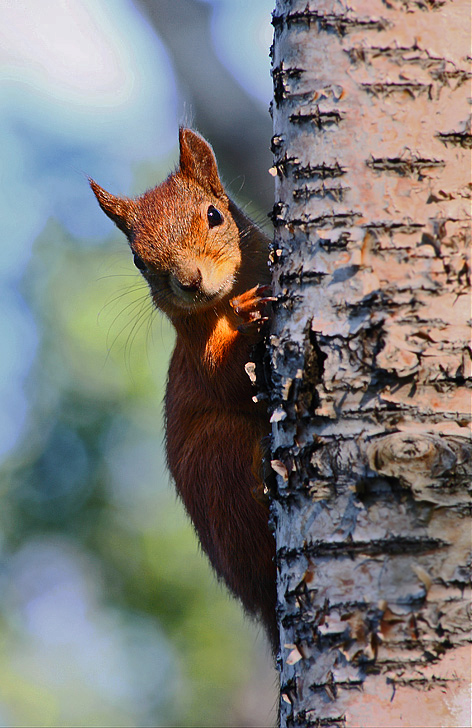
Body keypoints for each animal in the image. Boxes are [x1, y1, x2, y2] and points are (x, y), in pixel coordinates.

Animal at [90, 128, 278, 652]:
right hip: (218, 454)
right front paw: (251, 313)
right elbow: (229, 379)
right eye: (138, 259)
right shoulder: (199, 357)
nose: (189, 281)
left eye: (214, 215)